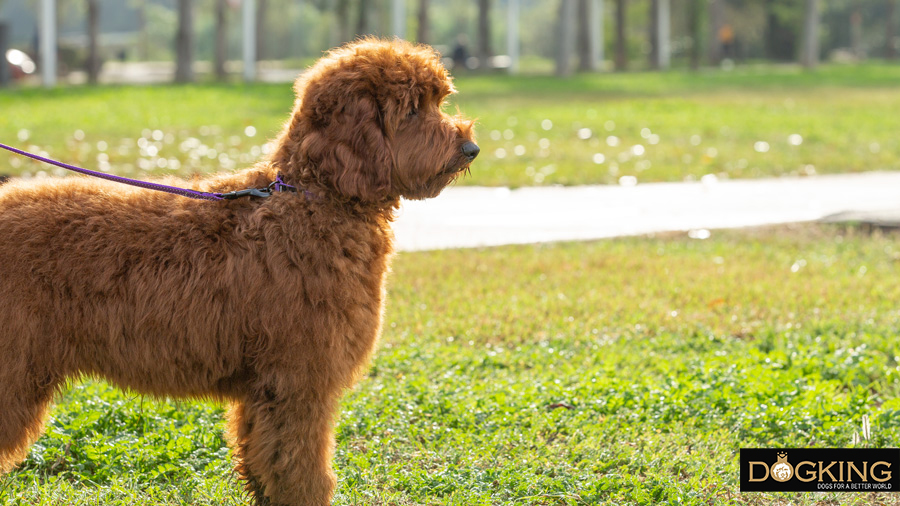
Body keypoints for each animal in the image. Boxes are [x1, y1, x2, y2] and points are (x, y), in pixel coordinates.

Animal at [0, 39, 478, 506]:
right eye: (412, 109)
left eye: (436, 101)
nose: (470, 148)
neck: (312, 198)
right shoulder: (299, 382)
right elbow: (302, 472)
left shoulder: (265, 390)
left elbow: (266, 464)